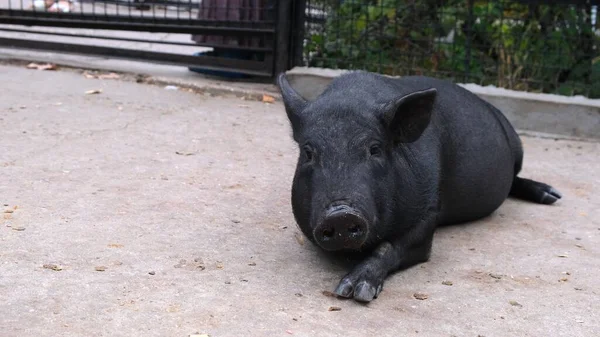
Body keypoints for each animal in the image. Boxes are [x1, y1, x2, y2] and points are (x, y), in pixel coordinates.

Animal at [276, 70, 564, 302]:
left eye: (375, 149)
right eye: (308, 152)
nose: (341, 214)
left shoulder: (429, 210)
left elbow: (393, 245)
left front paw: (355, 291)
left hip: (518, 144)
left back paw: (552, 196)